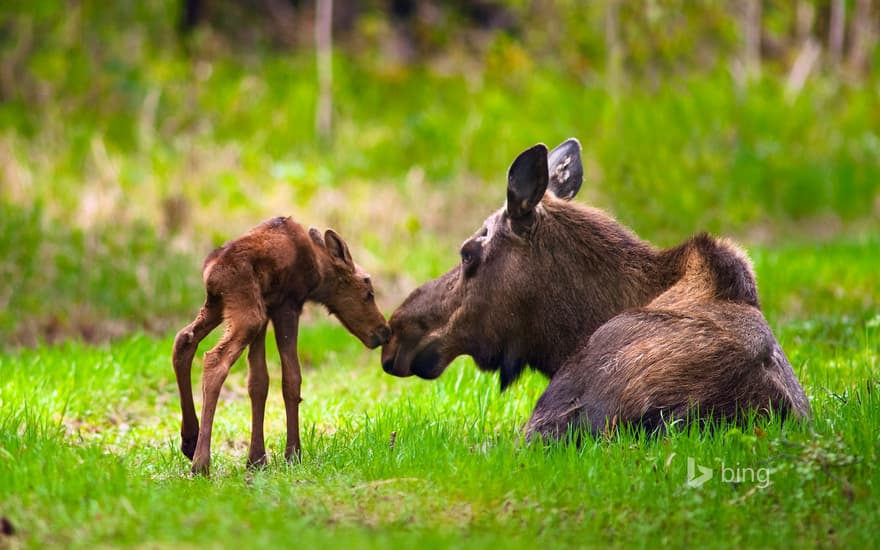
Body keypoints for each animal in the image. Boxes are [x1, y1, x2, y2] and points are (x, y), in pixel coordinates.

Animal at [172, 218, 388, 476]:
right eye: (369, 293)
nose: (384, 331)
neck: (318, 273)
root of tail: (210, 273)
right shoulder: (287, 305)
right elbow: (291, 379)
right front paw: (293, 454)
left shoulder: (267, 309)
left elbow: (258, 382)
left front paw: (256, 459)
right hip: (247, 313)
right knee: (214, 360)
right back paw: (201, 463)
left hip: (221, 306)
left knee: (183, 339)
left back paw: (189, 440)